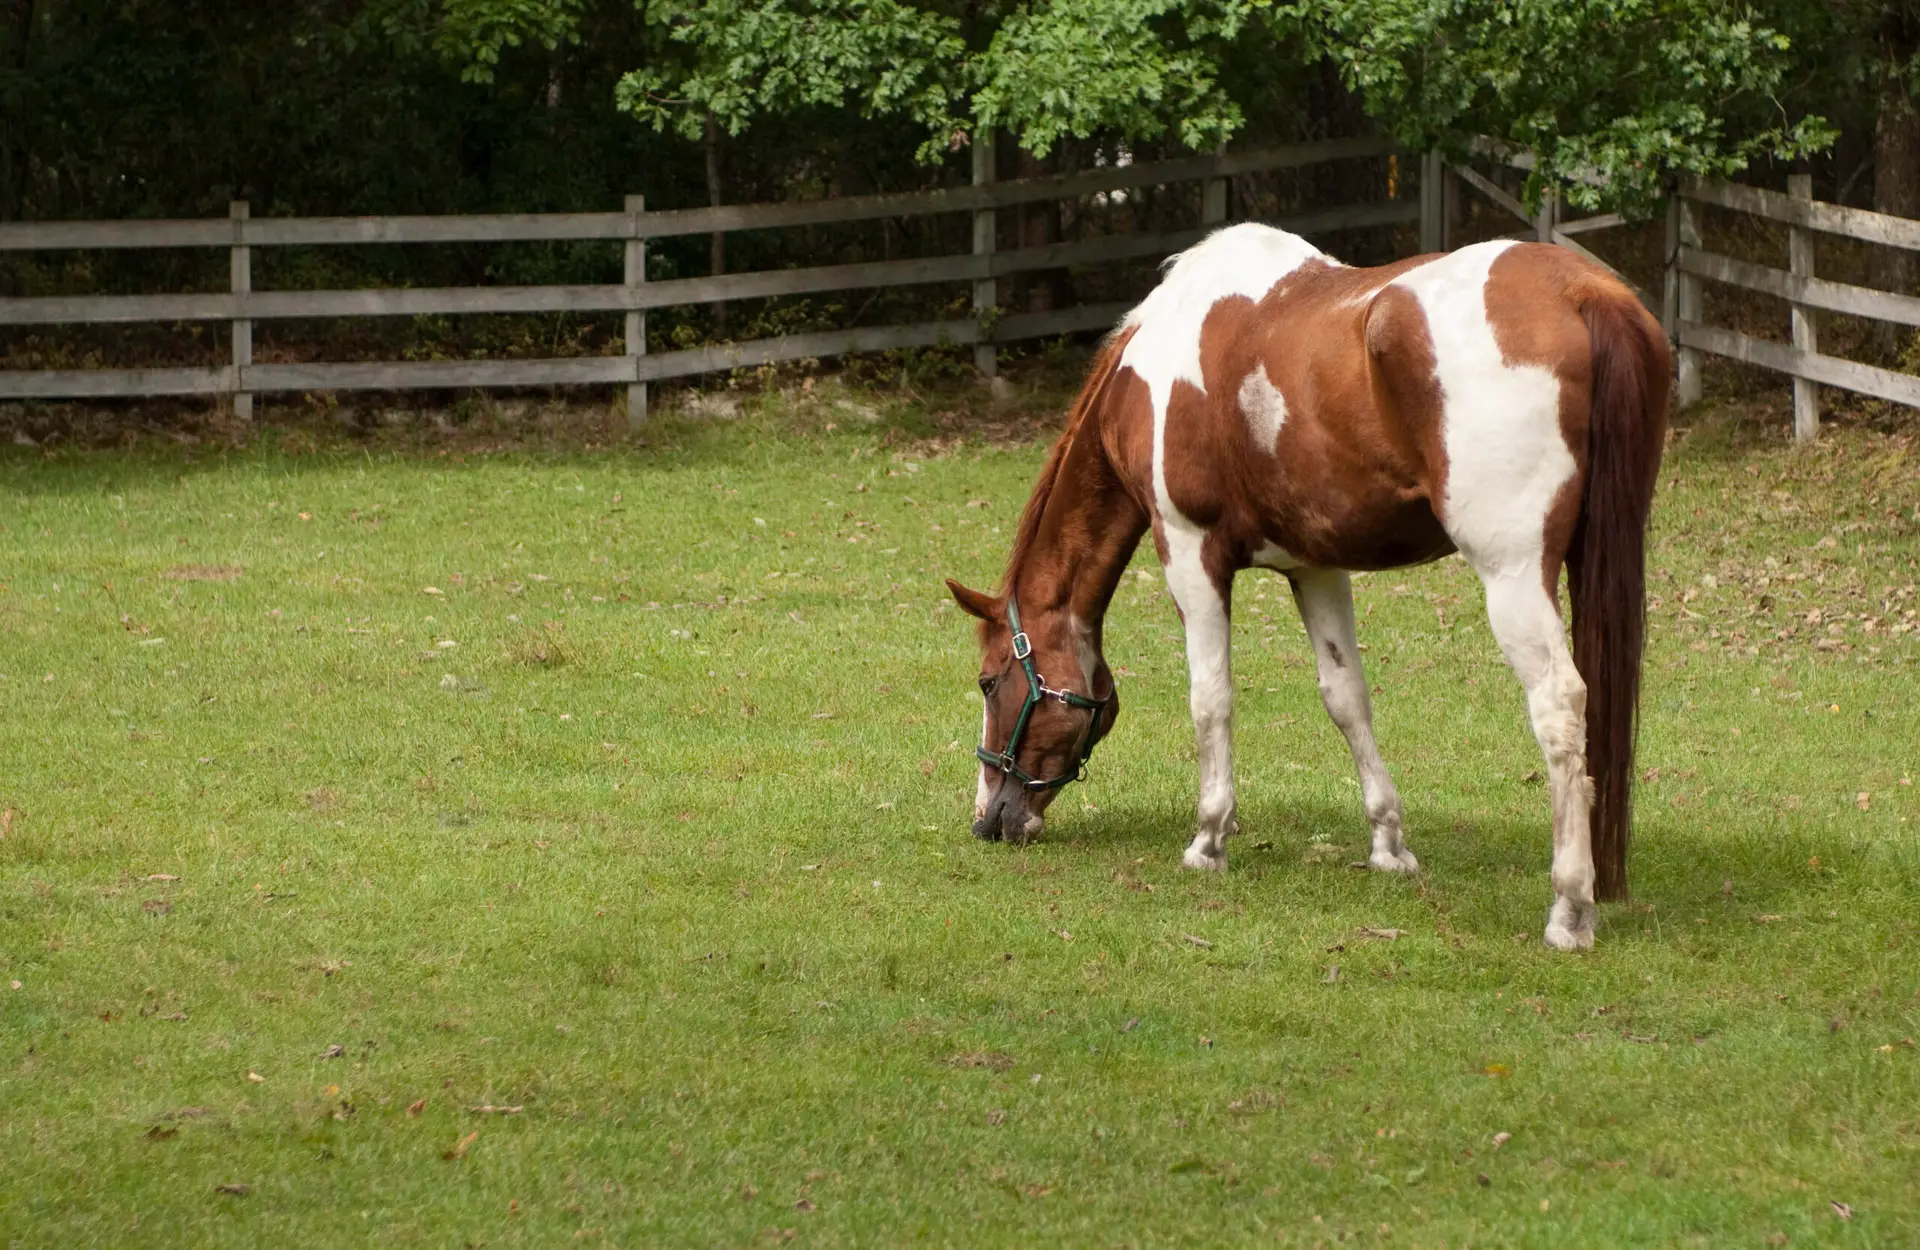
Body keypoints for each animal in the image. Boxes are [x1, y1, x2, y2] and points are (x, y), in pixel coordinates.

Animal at [945, 223, 1668, 950]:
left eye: (989, 681)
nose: (988, 819)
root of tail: (1581, 291)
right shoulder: (1315, 568)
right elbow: (1346, 697)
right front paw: (1388, 846)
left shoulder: (1188, 550)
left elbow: (1211, 699)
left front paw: (1209, 840)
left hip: (1512, 573)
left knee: (1558, 706)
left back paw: (1569, 907)